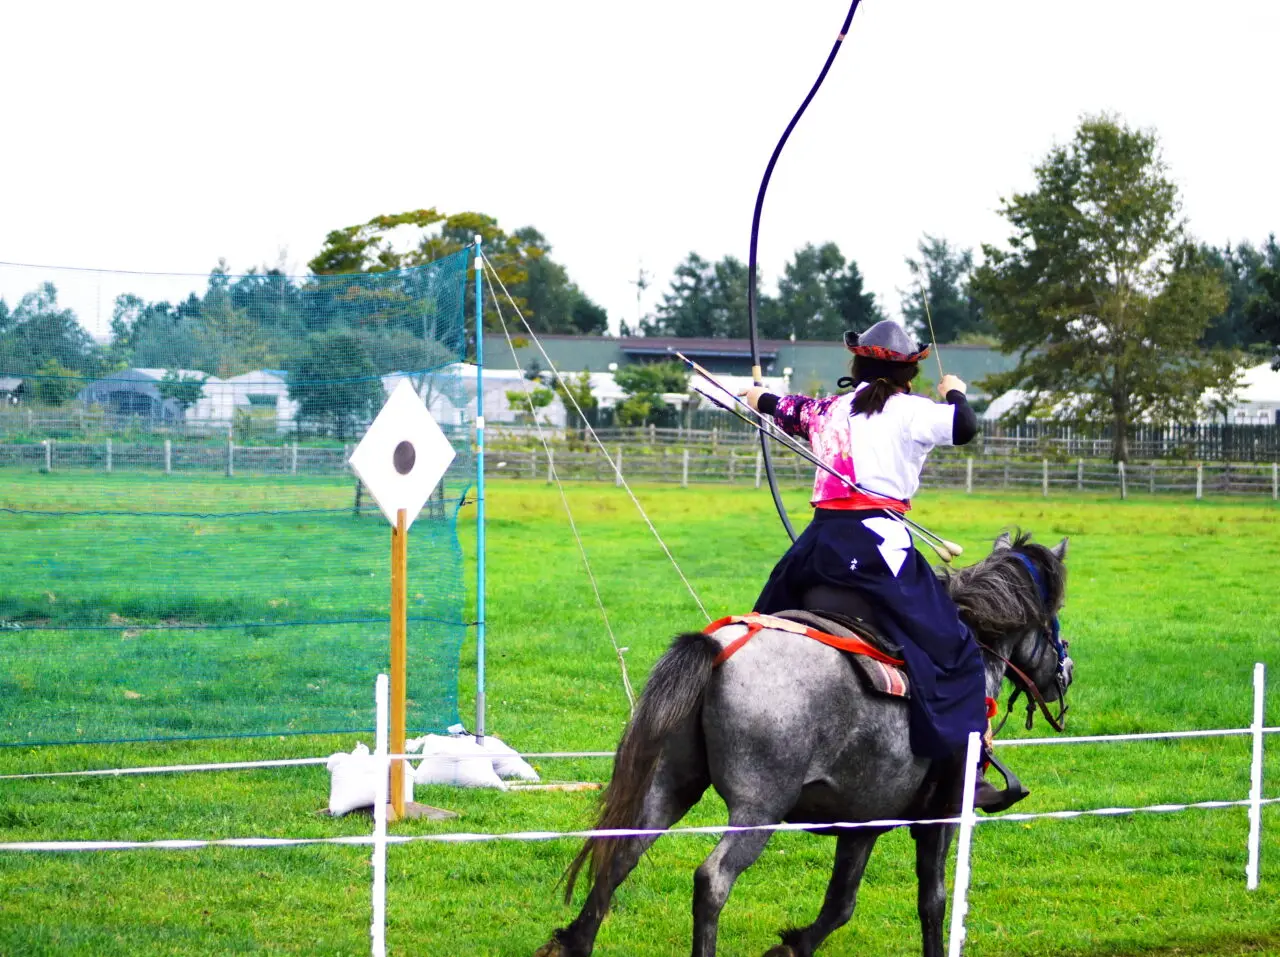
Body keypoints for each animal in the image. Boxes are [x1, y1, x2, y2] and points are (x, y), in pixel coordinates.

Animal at [529, 529, 1070, 957]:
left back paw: (573, 942)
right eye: (1057, 618)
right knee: (713, 879)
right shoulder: (939, 817)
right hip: (759, 808)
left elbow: (841, 902)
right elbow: (932, 901)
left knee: (623, 850)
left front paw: (794, 945)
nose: (1064, 675)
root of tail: (721, 647)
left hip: (670, 783)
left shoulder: (864, 820)